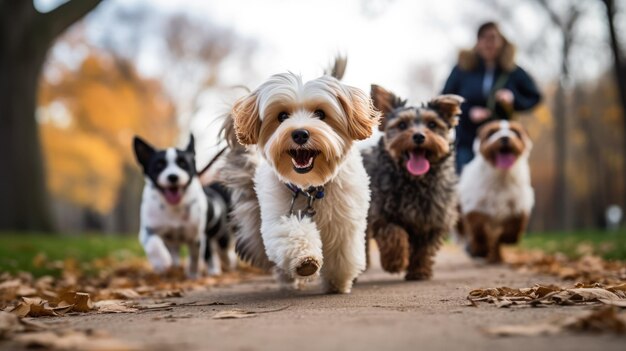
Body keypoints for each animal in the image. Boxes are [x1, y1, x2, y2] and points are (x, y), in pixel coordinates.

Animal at [133, 135, 235, 278]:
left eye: (183, 164)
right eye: (159, 165)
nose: (173, 177)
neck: (174, 207)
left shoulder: (195, 237)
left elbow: (194, 257)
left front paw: (193, 274)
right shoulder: (148, 230)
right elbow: (153, 245)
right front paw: (161, 262)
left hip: (219, 233)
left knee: (220, 250)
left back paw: (224, 264)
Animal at [222, 67, 378, 292]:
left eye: (320, 114)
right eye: (282, 116)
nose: (300, 134)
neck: (310, 187)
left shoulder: (345, 222)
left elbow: (342, 253)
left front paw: (337, 281)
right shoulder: (277, 215)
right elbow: (292, 232)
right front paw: (305, 261)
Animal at [364, 86, 460, 282]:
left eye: (432, 124)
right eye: (402, 125)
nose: (418, 136)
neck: (415, 181)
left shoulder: (434, 217)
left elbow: (425, 248)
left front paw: (419, 271)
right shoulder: (381, 212)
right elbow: (394, 233)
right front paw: (395, 262)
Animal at [456, 119, 532, 262]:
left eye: (514, 131)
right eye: (492, 132)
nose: (505, 138)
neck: (501, 176)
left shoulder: (518, 203)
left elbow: (514, 225)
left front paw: (508, 239)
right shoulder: (476, 204)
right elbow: (478, 227)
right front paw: (480, 250)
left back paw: (496, 257)